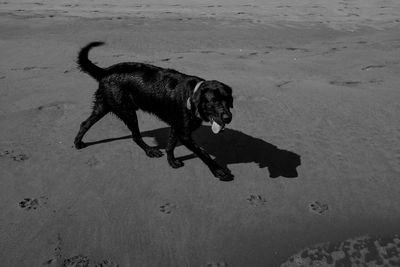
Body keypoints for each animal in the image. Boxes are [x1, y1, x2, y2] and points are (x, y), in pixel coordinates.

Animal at [74, 42, 234, 182]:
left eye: (228, 100)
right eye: (214, 101)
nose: (228, 118)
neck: (191, 94)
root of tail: (106, 71)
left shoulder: (176, 127)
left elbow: (170, 145)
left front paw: (171, 161)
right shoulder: (184, 134)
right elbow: (203, 152)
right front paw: (218, 171)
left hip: (104, 106)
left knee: (85, 123)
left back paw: (77, 142)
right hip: (128, 112)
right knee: (136, 136)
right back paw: (150, 151)